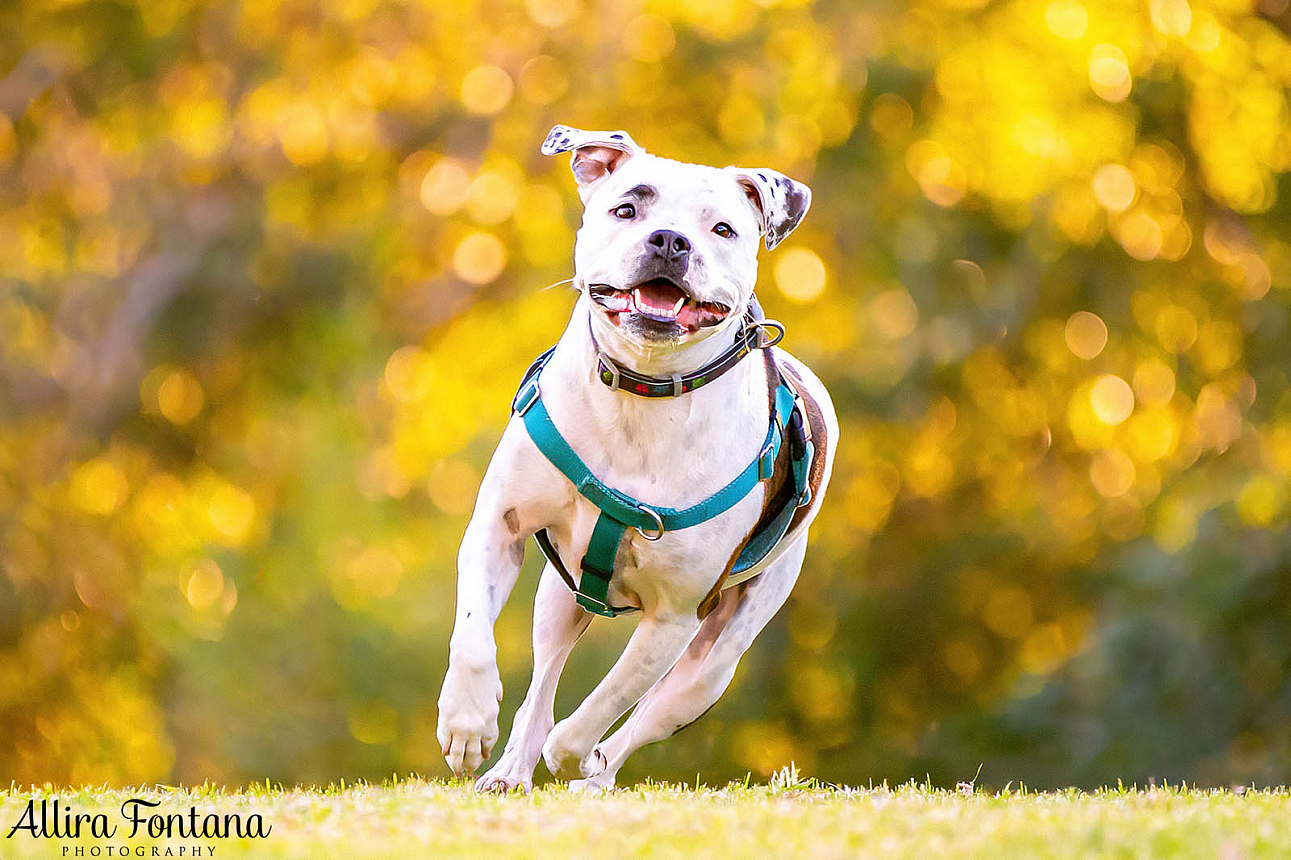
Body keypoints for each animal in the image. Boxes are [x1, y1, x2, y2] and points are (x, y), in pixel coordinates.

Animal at [436, 125, 836, 790]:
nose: (670, 240)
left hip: (715, 662)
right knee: (542, 683)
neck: (639, 393)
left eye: (722, 229)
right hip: (558, 600)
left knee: (643, 717)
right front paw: (466, 721)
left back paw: (591, 772)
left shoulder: (674, 617)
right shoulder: (499, 527)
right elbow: (472, 635)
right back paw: (512, 770)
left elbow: (608, 702)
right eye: (627, 208)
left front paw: (574, 751)